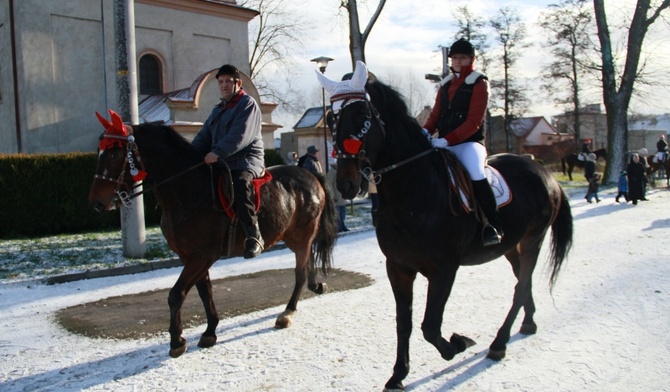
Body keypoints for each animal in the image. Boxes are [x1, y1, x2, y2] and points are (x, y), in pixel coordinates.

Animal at [89, 109, 342, 358]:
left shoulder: (202, 255)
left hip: (302, 237)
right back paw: (314, 287)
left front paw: (176, 341)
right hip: (292, 237)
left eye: (114, 154)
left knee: (300, 272)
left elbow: (176, 294)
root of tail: (310, 175)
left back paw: (287, 311)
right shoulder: (191, 256)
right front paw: (210, 331)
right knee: (307, 263)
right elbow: (205, 292)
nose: (97, 203)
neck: (187, 190)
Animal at [318, 62, 576, 392]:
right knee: (524, 280)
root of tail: (545, 173)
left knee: (520, 286)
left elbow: (429, 326)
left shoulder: (443, 269)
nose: (346, 183)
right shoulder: (398, 268)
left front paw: (458, 344)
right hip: (512, 245)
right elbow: (404, 323)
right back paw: (528, 322)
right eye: (331, 118)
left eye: (362, 115)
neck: (412, 191)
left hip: (533, 239)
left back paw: (499, 343)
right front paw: (398, 374)